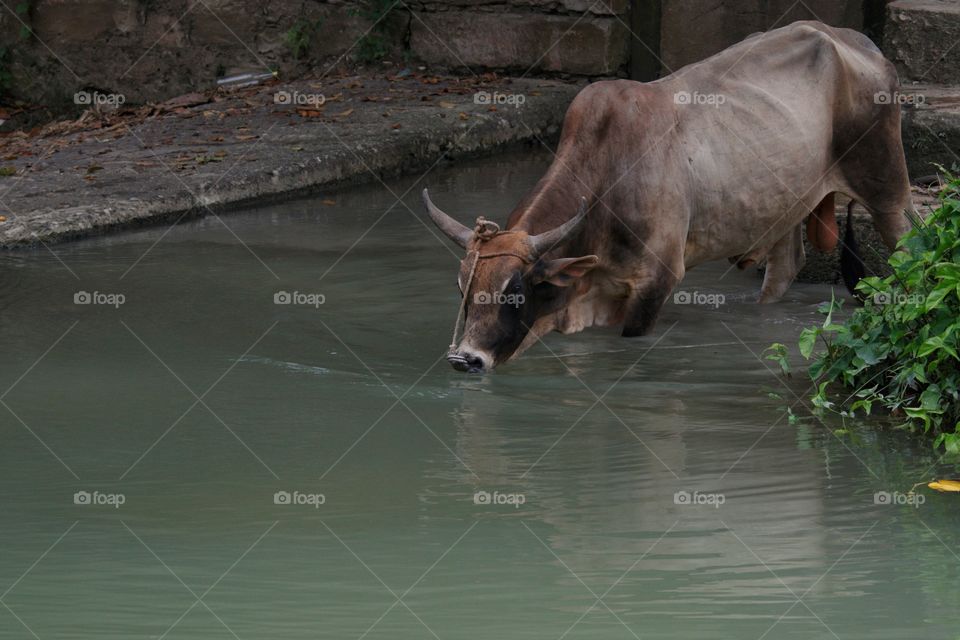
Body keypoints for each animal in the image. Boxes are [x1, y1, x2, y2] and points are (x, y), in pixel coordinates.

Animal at [424, 21, 912, 376]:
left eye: (514, 290)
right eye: (463, 285)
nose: (465, 359)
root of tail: (853, 39)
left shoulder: (655, 282)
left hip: (888, 188)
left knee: (906, 247)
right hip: (785, 207)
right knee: (786, 265)